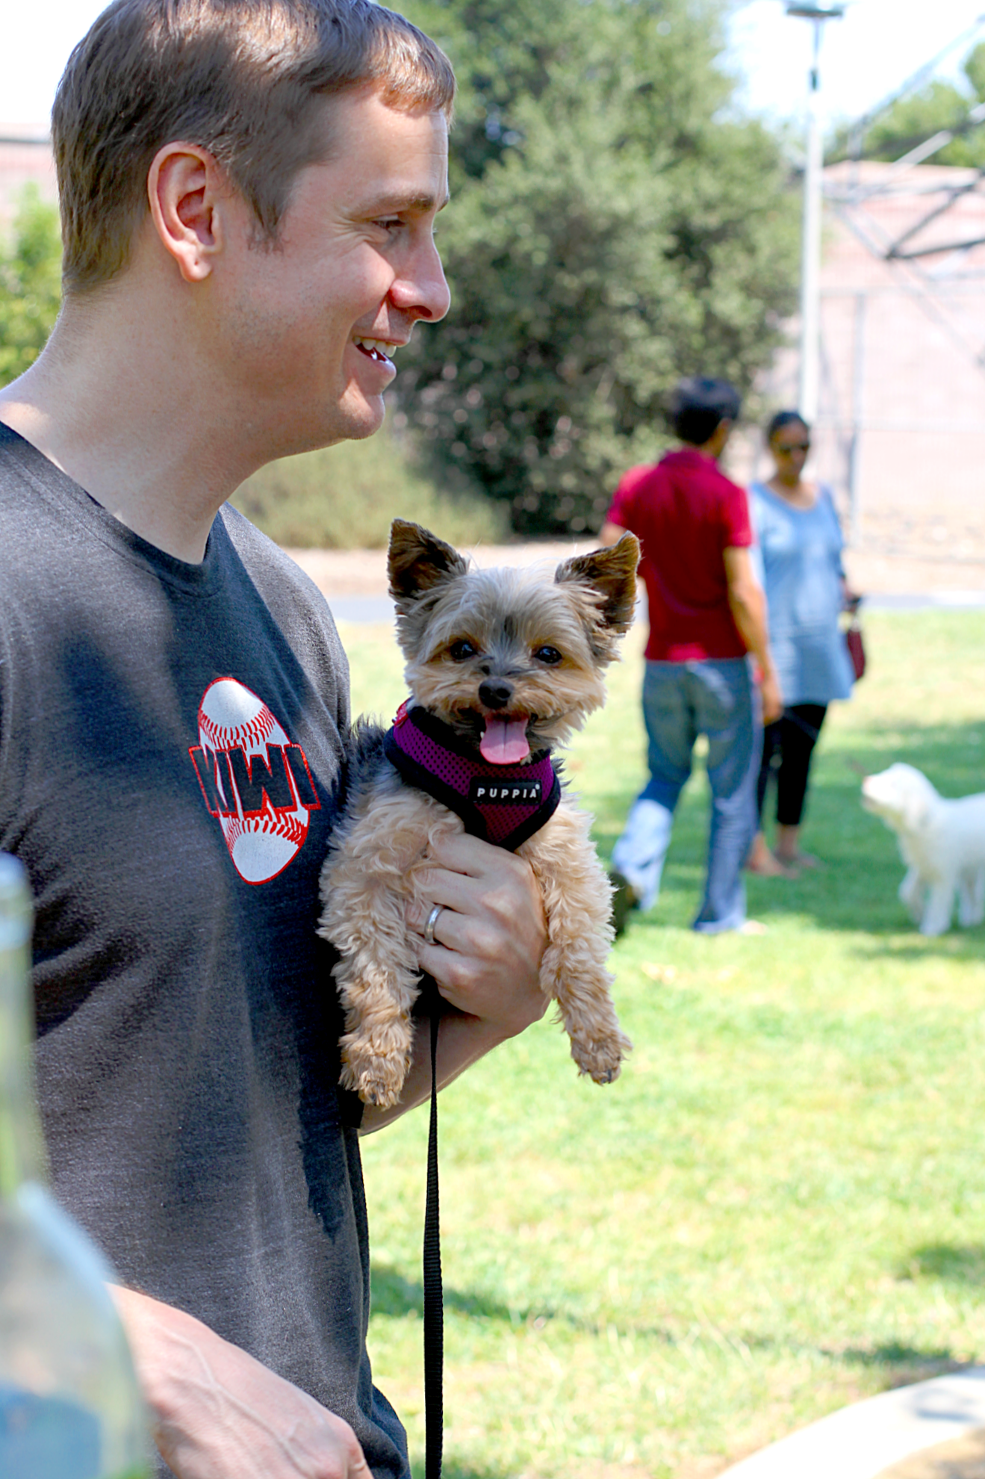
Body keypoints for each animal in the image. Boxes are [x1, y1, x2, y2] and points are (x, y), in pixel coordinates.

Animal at [316, 520, 635, 1112]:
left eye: (548, 653)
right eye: (462, 648)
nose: (496, 687)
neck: (484, 774)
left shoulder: (569, 858)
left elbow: (579, 948)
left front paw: (598, 1038)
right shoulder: (363, 866)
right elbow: (376, 970)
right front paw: (376, 1059)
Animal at [857, 763, 982, 934]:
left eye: (893, 784)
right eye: (885, 773)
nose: (866, 780)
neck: (925, 823)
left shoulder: (942, 873)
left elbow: (938, 902)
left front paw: (933, 927)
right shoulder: (922, 866)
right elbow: (907, 891)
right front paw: (919, 912)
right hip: (970, 869)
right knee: (970, 894)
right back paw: (970, 920)